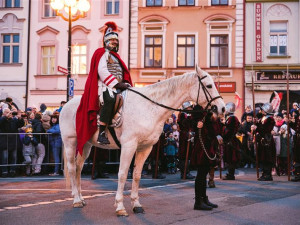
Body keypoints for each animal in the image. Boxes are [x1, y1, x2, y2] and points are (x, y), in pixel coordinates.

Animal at [59, 66, 224, 216]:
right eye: (209, 85)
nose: (222, 108)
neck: (149, 108)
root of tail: (67, 105)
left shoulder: (145, 148)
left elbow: (137, 174)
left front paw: (136, 204)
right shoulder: (128, 146)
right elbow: (122, 174)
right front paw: (120, 206)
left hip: (86, 145)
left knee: (79, 168)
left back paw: (81, 197)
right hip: (70, 142)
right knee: (72, 168)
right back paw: (76, 200)